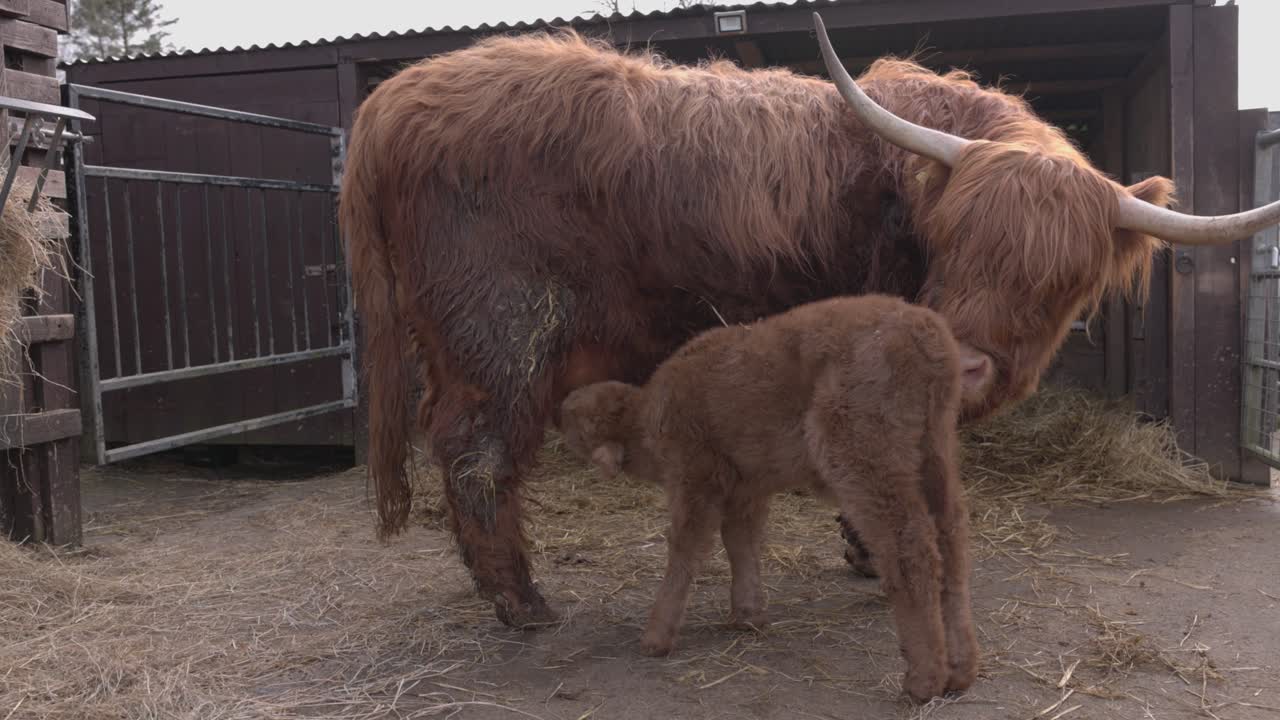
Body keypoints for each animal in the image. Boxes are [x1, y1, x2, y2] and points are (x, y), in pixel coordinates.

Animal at [338, 13, 1280, 627]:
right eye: (957, 246)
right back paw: (522, 601)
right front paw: (879, 550)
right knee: (476, 449)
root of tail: (393, 99)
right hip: (501, 333)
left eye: (1061, 282)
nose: (970, 361)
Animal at [558, 294, 981, 702]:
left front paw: (656, 637)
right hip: (934, 448)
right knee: (952, 541)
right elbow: (741, 543)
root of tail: (922, 336)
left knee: (910, 549)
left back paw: (922, 682)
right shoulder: (746, 488)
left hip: (864, 452)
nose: (556, 413)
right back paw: (959, 672)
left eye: (574, 421)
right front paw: (747, 615)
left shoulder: (695, 476)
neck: (646, 417)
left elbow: (685, 550)